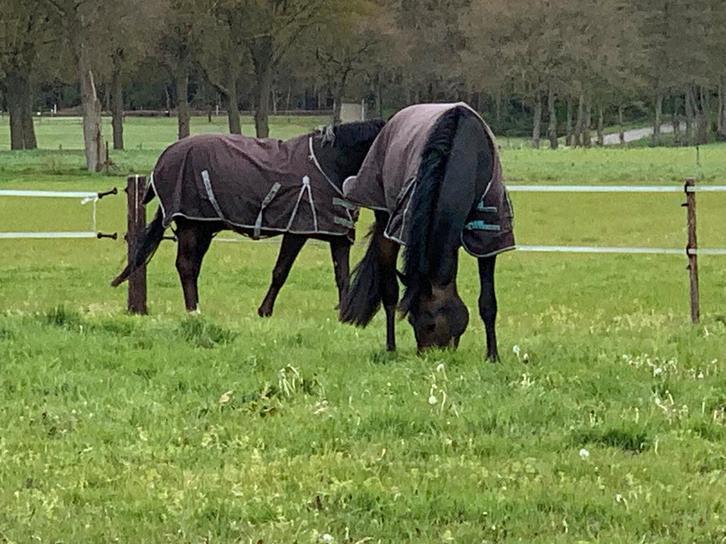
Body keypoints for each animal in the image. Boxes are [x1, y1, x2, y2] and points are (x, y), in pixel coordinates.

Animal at [111, 119, 386, 315]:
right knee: (186, 265)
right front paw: (264, 311)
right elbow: (281, 271)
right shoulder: (297, 232)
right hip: (191, 225)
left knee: (193, 265)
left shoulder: (338, 236)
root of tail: (166, 156)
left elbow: (342, 276)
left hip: (204, 227)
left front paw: (345, 313)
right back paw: (193, 311)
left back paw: (196, 307)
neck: (330, 164)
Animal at [339, 103, 514, 361]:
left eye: (431, 324)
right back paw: (390, 348)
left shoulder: (489, 236)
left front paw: (492, 356)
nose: (427, 355)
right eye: (412, 321)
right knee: (389, 291)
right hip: (385, 220)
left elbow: (488, 302)